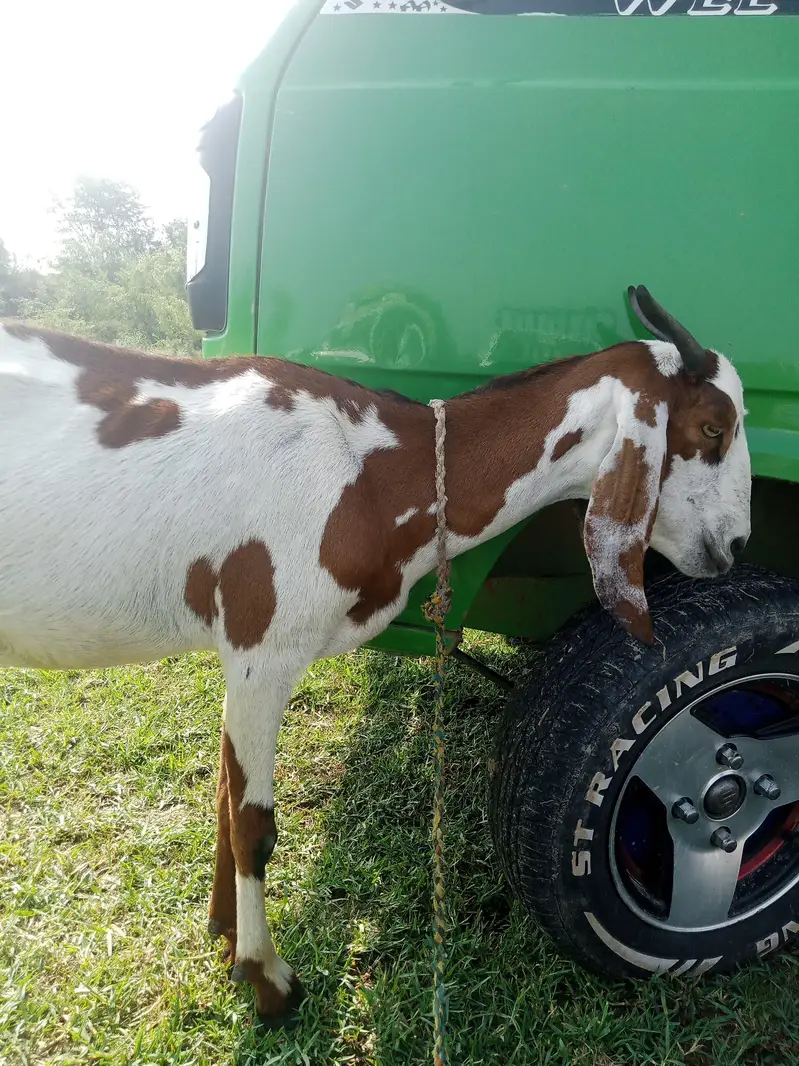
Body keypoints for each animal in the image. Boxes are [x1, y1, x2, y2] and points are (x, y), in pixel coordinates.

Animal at [0, 286, 751, 1025]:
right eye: (712, 427)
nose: (737, 544)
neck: (375, 469)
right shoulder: (262, 644)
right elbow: (252, 824)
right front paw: (268, 982)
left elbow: (222, 802)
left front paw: (225, 937)